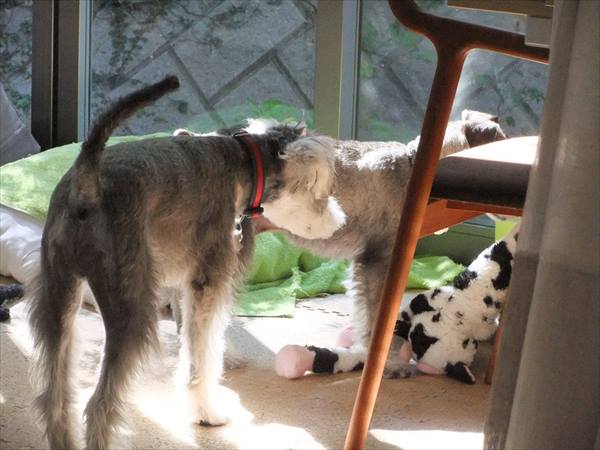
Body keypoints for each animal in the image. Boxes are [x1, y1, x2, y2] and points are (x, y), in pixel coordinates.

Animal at [28, 75, 346, 449]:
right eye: (319, 191)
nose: (339, 221)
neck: (243, 163)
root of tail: (86, 185)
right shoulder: (210, 284)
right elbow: (203, 354)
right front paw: (207, 411)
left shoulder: (186, 288)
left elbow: (194, 339)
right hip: (132, 312)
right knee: (99, 405)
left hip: (58, 297)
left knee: (55, 397)